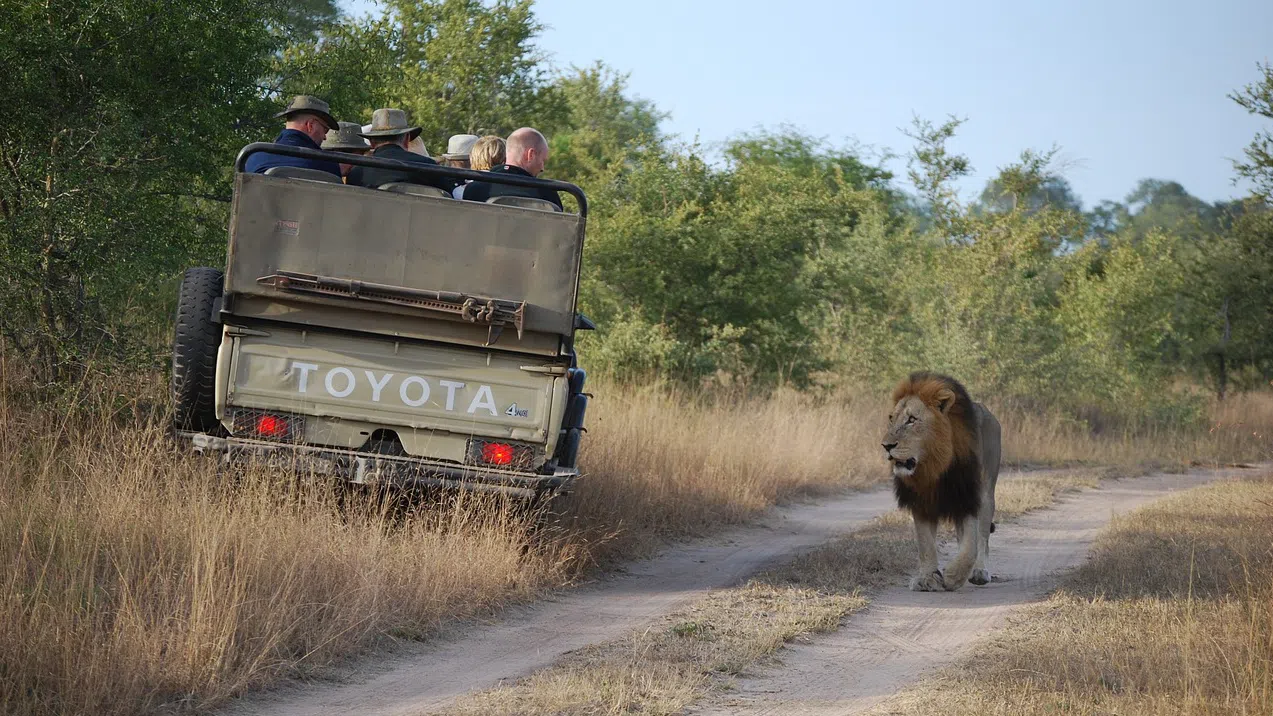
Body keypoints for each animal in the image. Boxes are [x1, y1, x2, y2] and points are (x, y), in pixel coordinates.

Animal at [880, 369, 998, 588]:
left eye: (912, 419)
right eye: (891, 418)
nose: (886, 446)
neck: (934, 466)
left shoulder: (967, 495)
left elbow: (972, 544)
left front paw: (954, 575)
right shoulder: (921, 500)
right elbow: (925, 544)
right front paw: (927, 577)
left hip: (987, 495)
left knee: (982, 537)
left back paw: (978, 572)